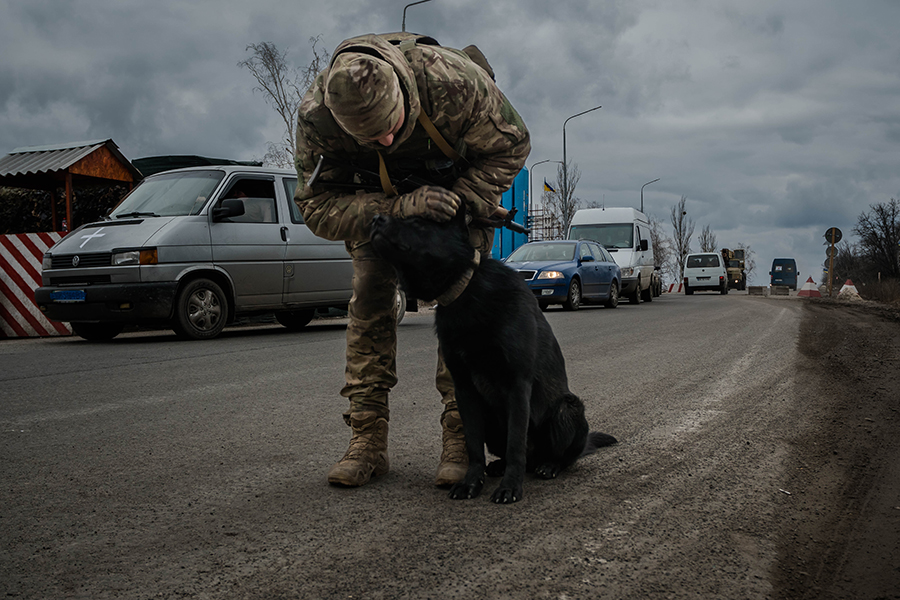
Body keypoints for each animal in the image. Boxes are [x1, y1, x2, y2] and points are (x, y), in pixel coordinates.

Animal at [370, 209, 616, 504]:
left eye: (419, 223)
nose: (375, 219)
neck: (467, 291)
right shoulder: (465, 391)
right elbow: (474, 445)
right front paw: (471, 482)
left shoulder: (517, 385)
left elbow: (515, 445)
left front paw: (510, 487)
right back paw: (498, 466)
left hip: (567, 408)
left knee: (560, 457)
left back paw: (549, 465)